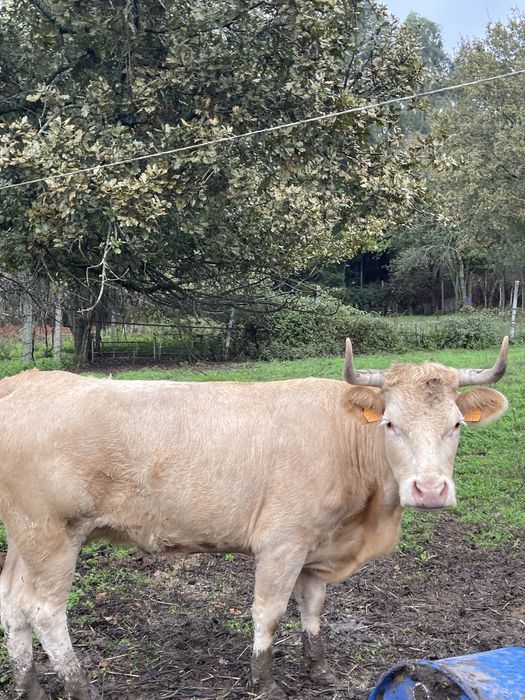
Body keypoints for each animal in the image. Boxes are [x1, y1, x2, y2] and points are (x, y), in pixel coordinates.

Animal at [0, 338, 509, 700]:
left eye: (456, 425)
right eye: (390, 423)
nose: (430, 489)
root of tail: (25, 382)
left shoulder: (317, 547)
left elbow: (312, 609)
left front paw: (319, 669)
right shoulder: (282, 543)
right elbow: (269, 612)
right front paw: (264, 682)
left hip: (25, 537)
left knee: (13, 604)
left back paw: (30, 687)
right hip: (52, 533)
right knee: (45, 610)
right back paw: (80, 687)